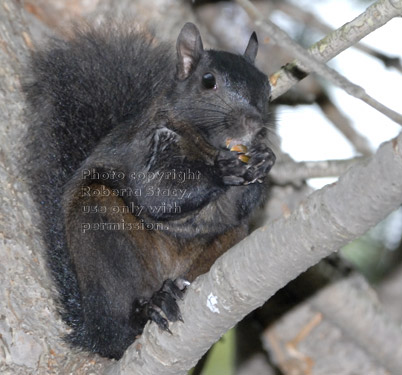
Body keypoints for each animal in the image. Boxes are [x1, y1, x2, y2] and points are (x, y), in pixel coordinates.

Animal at [23, 21, 274, 362]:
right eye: (208, 81)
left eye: (268, 89)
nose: (254, 124)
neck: (205, 145)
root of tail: (90, 327)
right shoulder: (143, 146)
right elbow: (154, 193)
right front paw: (221, 171)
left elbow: (236, 208)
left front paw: (264, 160)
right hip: (101, 230)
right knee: (115, 327)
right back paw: (146, 311)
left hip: (223, 244)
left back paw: (174, 290)